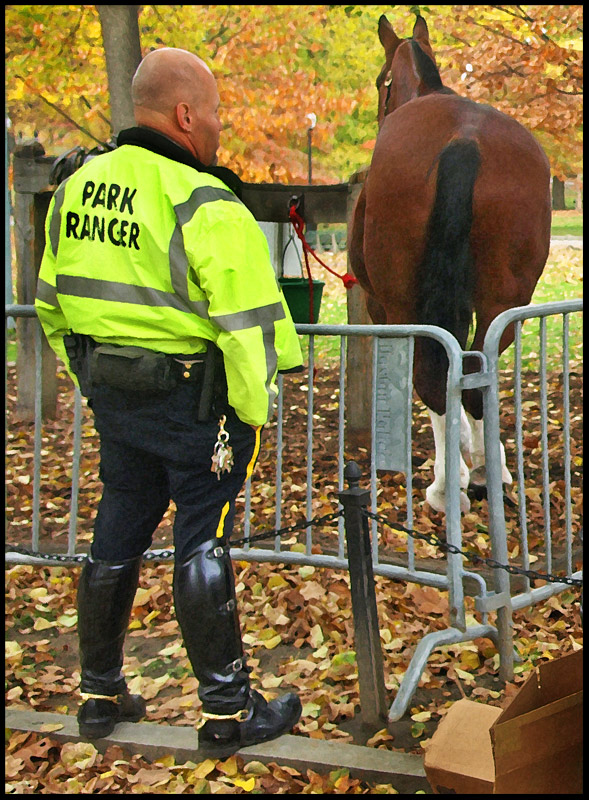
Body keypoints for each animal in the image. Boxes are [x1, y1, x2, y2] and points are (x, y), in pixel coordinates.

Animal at [350, 14, 552, 512]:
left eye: (380, 82)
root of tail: (466, 138)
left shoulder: (382, 309)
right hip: (506, 299)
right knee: (478, 369)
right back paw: (487, 473)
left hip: (403, 303)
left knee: (431, 377)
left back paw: (446, 489)